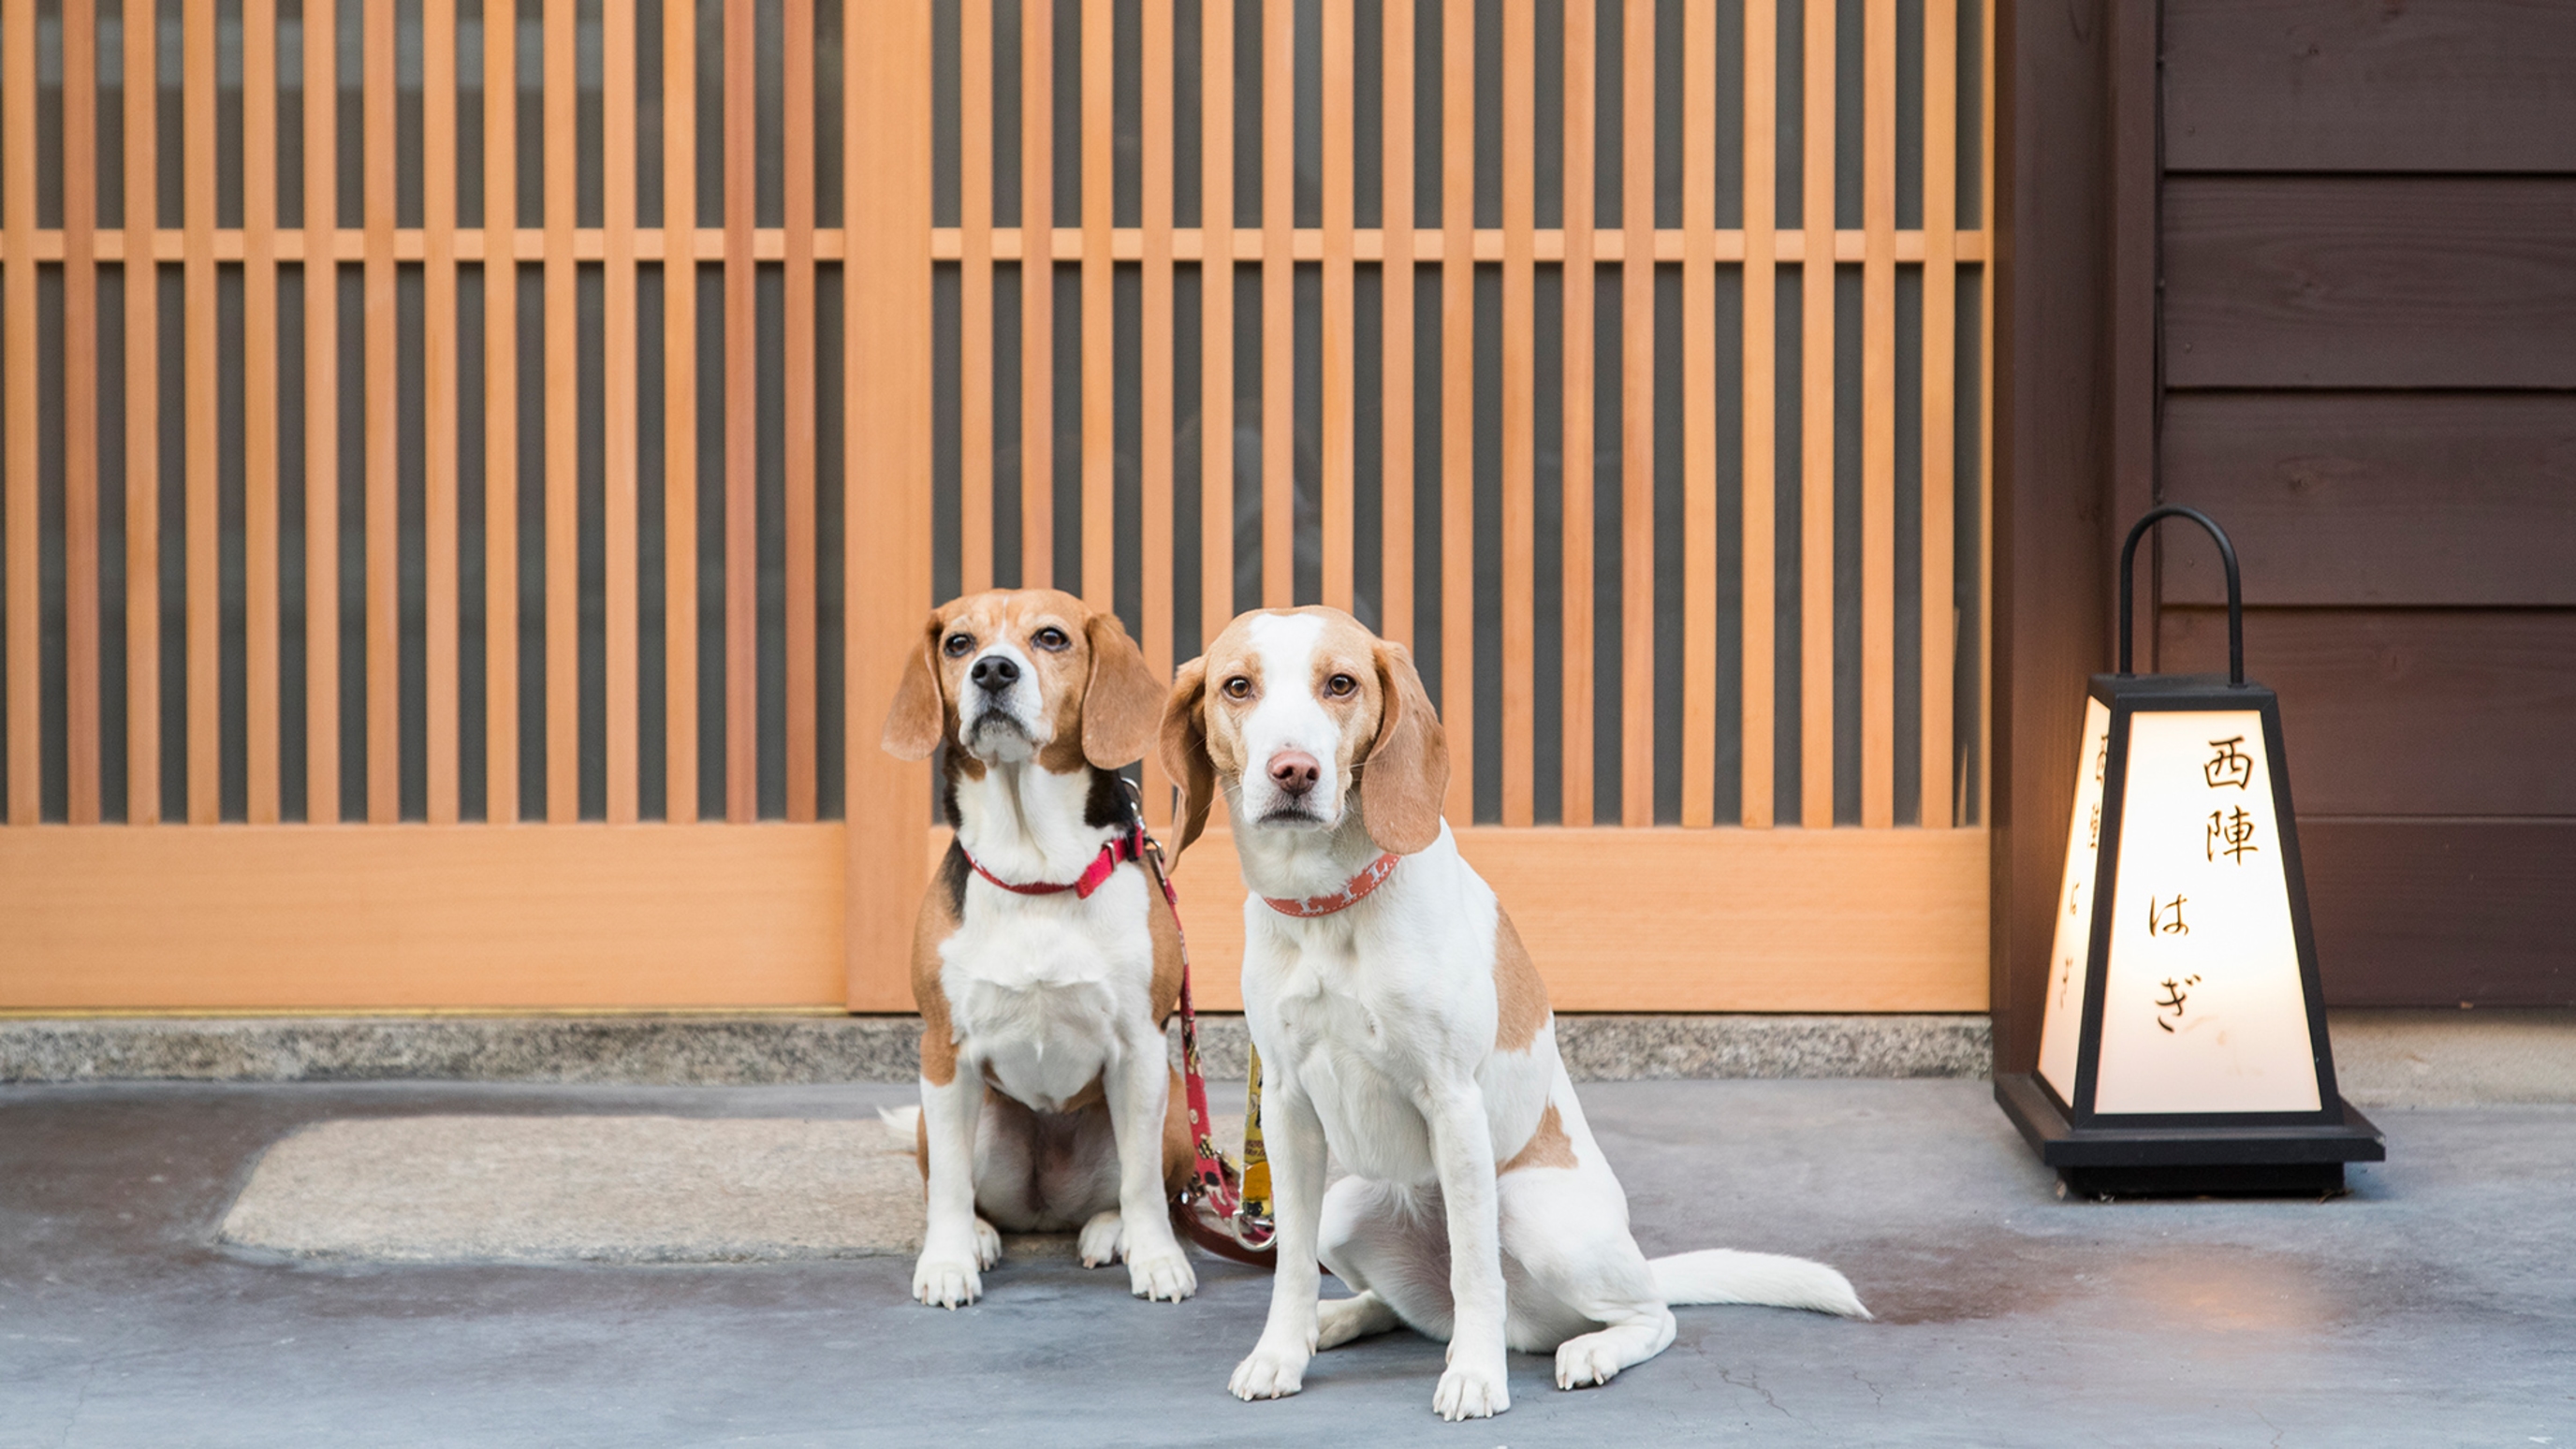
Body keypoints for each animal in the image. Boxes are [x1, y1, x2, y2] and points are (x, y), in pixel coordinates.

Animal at [881, 588, 1200, 1310]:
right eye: (959, 644)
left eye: (1051, 638)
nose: (994, 671)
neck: (1035, 870)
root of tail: (1047, 1207)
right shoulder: (942, 1049)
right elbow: (948, 1185)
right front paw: (947, 1262)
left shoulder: (1141, 1051)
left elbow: (1143, 1184)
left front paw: (1158, 1259)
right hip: (956, 1118)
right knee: (961, 1188)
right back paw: (977, 1235)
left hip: (1171, 1108)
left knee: (1137, 1187)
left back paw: (1113, 1232)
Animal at [1159, 603, 1865, 1412]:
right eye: (1237, 687)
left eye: (1340, 683)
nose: (1294, 771)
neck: (1328, 906)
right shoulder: (1286, 1109)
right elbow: (1293, 1265)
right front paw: (1282, 1352)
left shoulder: (1454, 1102)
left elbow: (1475, 1269)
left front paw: (1475, 1375)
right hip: (1346, 1209)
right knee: (1399, 1306)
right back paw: (1334, 1322)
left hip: (1535, 1213)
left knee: (1644, 1315)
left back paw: (1587, 1349)